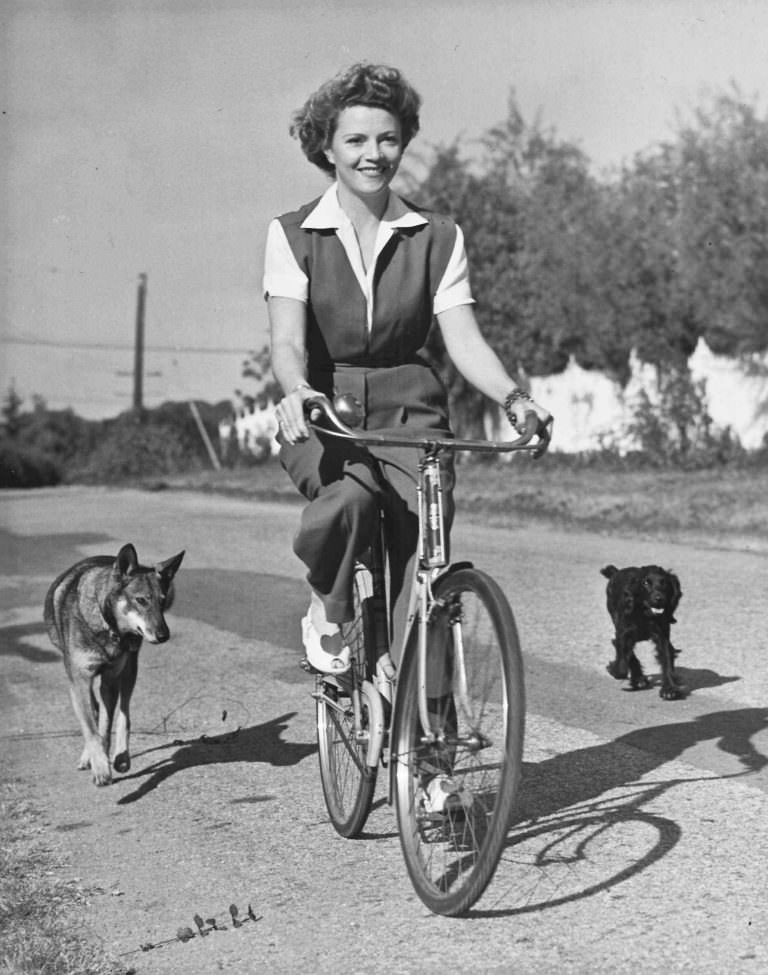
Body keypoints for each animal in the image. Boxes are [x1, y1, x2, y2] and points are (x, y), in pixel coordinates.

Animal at [44, 544, 184, 788]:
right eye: (141, 600)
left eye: (162, 601)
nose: (163, 635)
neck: (107, 626)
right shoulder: (80, 682)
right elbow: (91, 729)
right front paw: (100, 766)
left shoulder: (109, 681)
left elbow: (105, 727)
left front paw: (104, 761)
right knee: (95, 712)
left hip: (129, 672)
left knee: (123, 714)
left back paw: (121, 756)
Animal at [600, 564, 684, 700]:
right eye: (645, 583)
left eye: (664, 582)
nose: (659, 598)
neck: (645, 614)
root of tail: (617, 571)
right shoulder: (624, 633)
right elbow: (622, 666)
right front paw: (614, 669)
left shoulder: (662, 636)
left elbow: (666, 657)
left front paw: (669, 689)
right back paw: (638, 678)